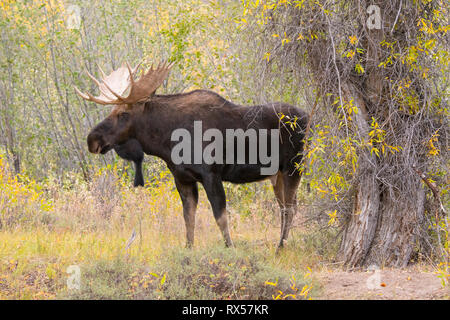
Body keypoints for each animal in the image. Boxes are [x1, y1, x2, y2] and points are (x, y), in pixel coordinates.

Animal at [74, 60, 310, 250]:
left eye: (123, 114)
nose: (92, 140)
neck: (166, 141)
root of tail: (308, 117)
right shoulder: (182, 178)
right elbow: (188, 218)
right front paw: (188, 249)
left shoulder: (211, 174)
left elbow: (220, 216)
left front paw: (231, 247)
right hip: (276, 175)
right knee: (285, 208)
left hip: (293, 167)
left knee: (290, 209)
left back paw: (280, 247)